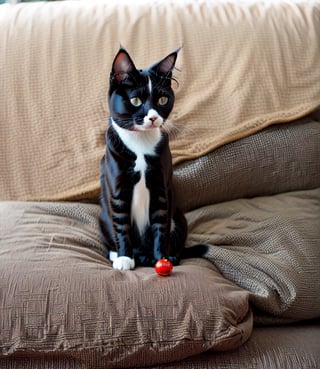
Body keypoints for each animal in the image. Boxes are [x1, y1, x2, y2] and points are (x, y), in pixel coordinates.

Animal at [99, 47, 206, 268]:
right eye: (135, 101)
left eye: (162, 100)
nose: (153, 117)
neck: (140, 144)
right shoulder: (118, 190)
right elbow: (121, 224)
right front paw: (124, 257)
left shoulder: (160, 187)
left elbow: (160, 225)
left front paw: (161, 258)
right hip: (102, 218)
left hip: (179, 218)